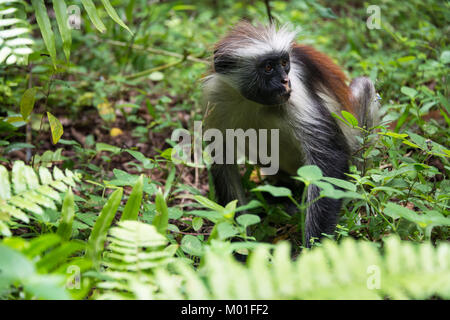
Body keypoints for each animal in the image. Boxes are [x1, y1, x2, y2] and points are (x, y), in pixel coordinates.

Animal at [202, 21, 378, 248]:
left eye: (285, 63)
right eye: (268, 67)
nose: (284, 81)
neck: (255, 102)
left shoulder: (296, 93)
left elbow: (331, 158)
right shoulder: (216, 96)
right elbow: (224, 165)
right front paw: (239, 246)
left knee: (365, 85)